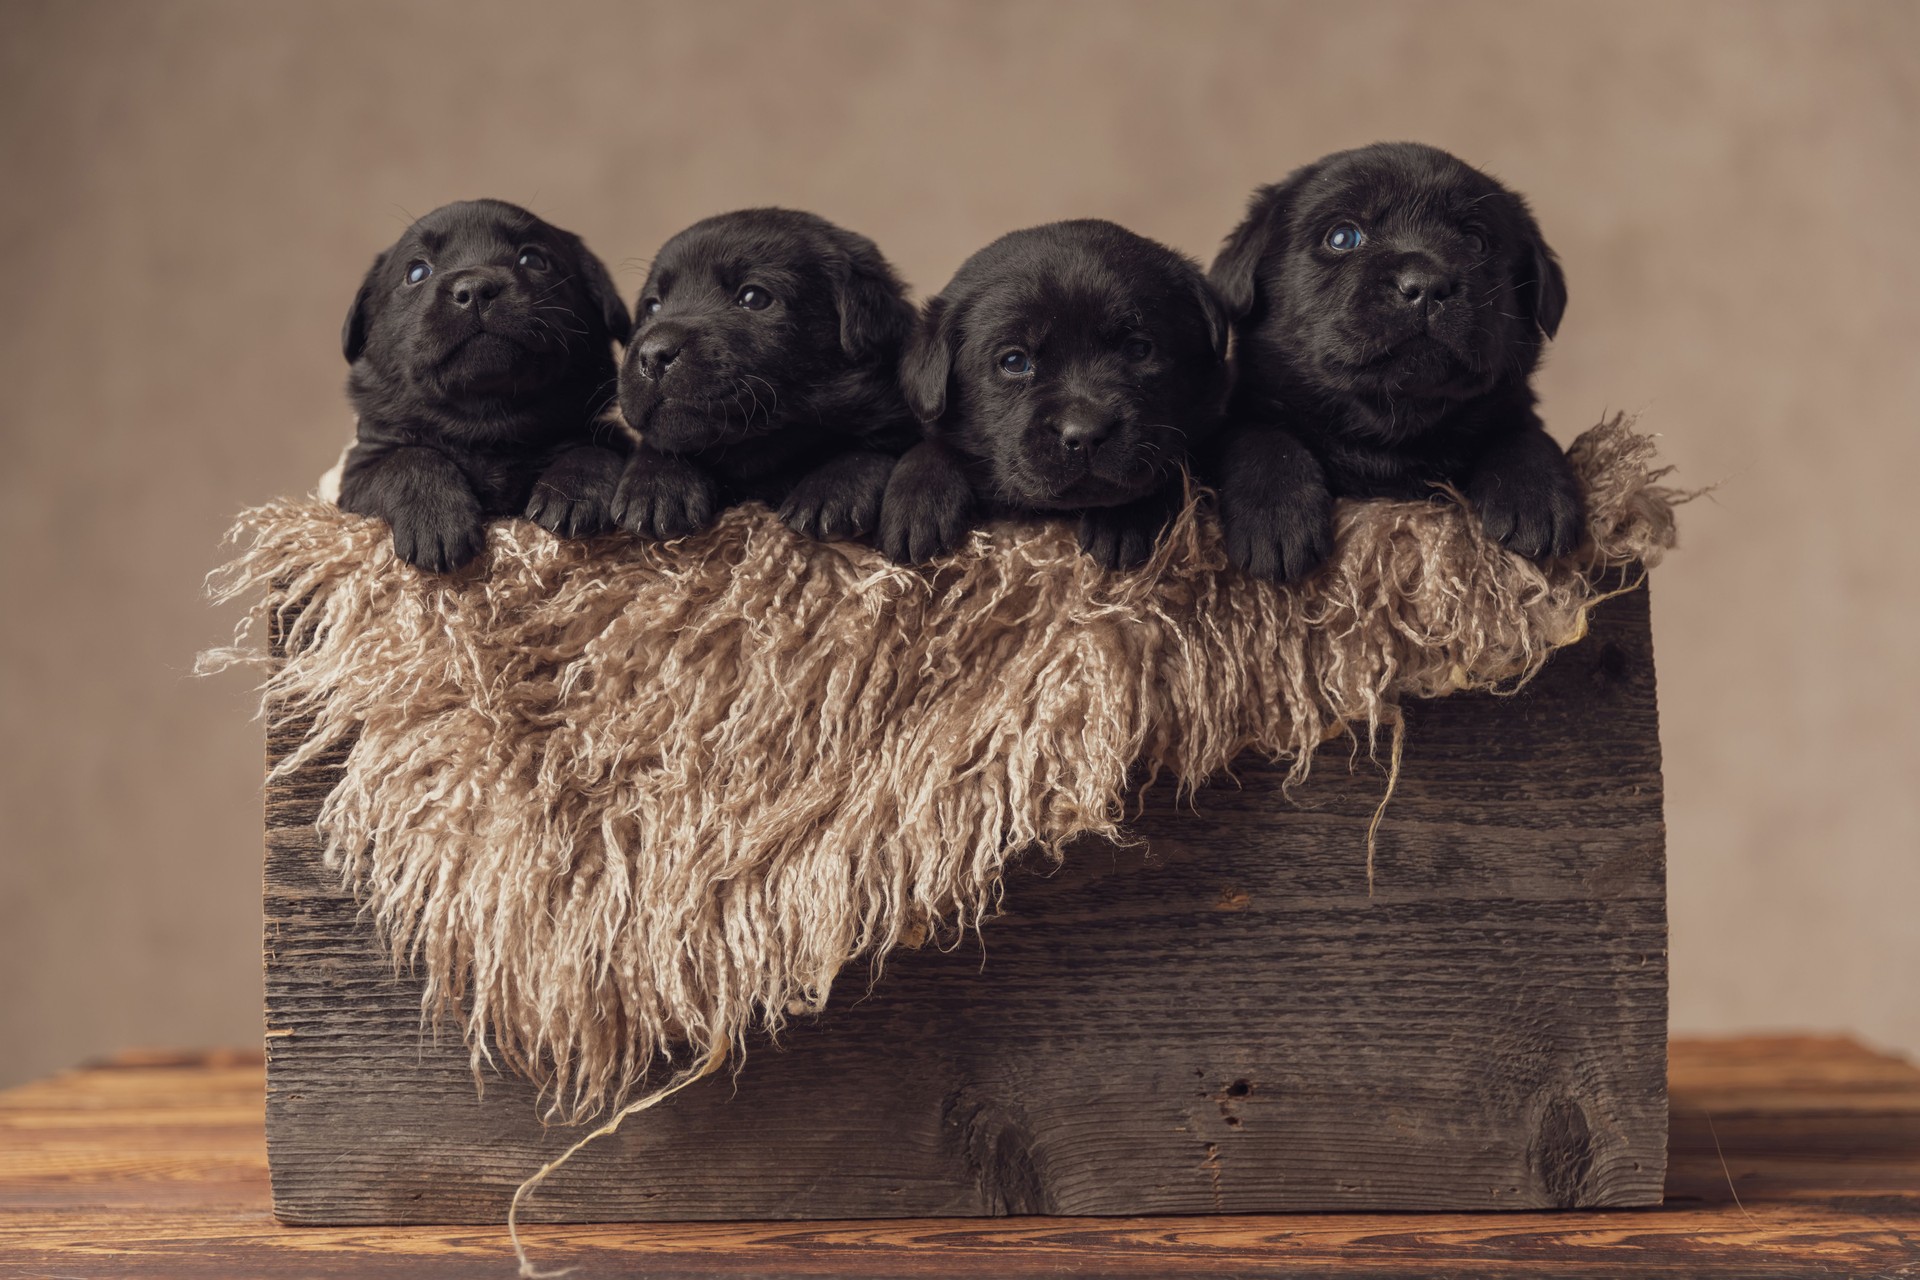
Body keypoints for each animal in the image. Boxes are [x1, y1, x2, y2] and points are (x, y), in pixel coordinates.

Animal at [334, 198, 625, 571]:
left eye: (533, 259)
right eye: (417, 272)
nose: (474, 289)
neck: (486, 423)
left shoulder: (611, 437)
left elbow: (595, 449)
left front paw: (574, 492)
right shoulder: (359, 473)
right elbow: (408, 458)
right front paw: (436, 520)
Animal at [610, 209, 917, 545]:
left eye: (754, 297)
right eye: (652, 305)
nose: (654, 355)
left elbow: (872, 448)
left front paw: (834, 490)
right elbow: (660, 443)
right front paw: (656, 484)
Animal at [879, 221, 1228, 571]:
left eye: (1139, 349)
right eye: (1014, 362)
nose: (1086, 434)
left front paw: (1125, 520)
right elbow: (933, 443)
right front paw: (919, 500)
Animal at [1213, 143, 1574, 579]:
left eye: (1475, 242)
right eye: (1342, 237)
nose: (1426, 285)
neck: (1392, 430)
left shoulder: (1513, 408)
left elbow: (1524, 433)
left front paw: (1534, 496)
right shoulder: (1251, 407)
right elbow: (1259, 434)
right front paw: (1276, 516)